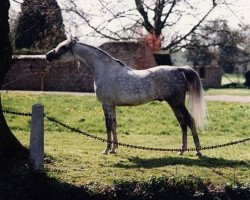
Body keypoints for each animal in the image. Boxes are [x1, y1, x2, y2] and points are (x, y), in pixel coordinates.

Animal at [46, 38, 206, 156]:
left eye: (63, 47)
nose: (48, 56)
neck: (105, 70)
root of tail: (179, 69)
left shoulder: (106, 104)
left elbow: (108, 125)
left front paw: (106, 150)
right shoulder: (112, 105)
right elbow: (114, 124)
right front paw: (113, 149)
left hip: (176, 103)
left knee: (189, 121)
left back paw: (198, 152)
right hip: (174, 104)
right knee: (182, 123)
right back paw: (181, 150)